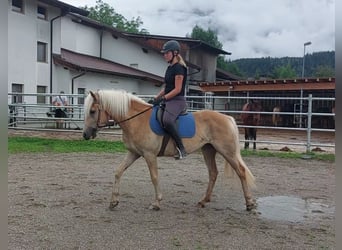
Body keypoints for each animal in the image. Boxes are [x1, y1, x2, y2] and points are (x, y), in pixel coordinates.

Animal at [81, 90, 255, 211]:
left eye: (92, 111)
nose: (85, 135)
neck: (137, 120)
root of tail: (227, 118)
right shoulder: (134, 153)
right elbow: (118, 172)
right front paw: (113, 201)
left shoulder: (149, 155)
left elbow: (154, 177)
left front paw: (156, 203)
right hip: (208, 150)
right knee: (213, 173)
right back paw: (203, 201)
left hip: (227, 151)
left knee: (240, 172)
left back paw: (249, 203)